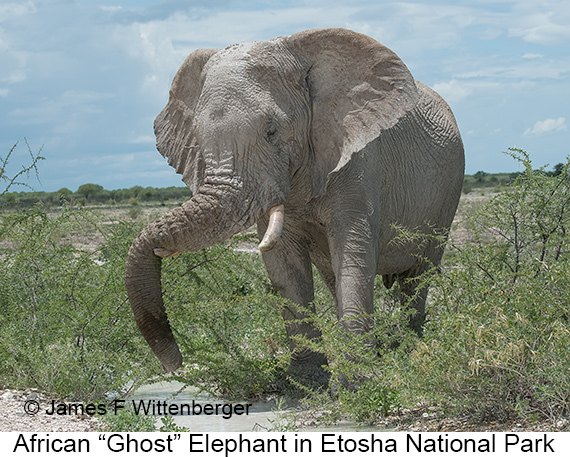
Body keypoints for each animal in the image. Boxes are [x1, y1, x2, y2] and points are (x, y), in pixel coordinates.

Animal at [124, 27, 462, 384]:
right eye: (199, 141)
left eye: (271, 131)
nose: (174, 363)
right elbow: (284, 265)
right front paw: (307, 379)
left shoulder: (358, 158)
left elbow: (353, 253)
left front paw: (356, 381)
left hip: (448, 192)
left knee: (419, 274)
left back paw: (410, 345)